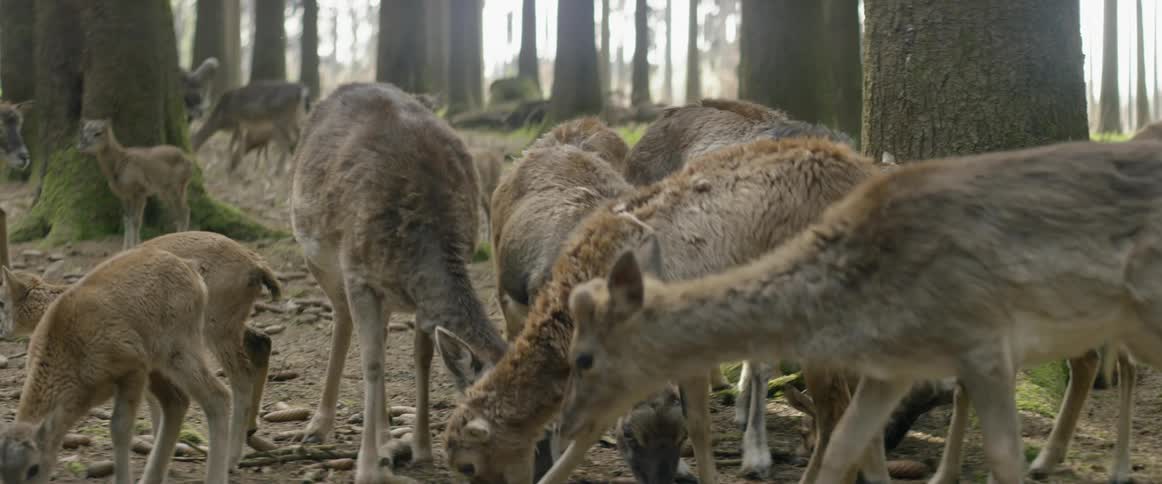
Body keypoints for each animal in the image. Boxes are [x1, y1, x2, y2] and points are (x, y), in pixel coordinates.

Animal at [0, 230, 281, 464]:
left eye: (2, 301)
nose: (3, 330)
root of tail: (256, 265)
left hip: (217, 330)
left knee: (240, 375)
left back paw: (232, 457)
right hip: (229, 326)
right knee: (261, 343)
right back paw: (250, 431)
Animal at [76, 119, 193, 251]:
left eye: (98, 133)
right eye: (83, 131)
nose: (81, 145)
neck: (118, 165)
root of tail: (189, 161)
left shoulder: (140, 192)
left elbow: (136, 221)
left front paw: (135, 246)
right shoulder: (124, 196)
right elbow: (127, 220)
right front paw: (125, 248)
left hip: (176, 187)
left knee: (184, 211)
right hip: (166, 191)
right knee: (180, 212)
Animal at [289, 82, 508, 484]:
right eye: (479, 428)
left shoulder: (419, 294)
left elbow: (422, 358)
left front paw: (421, 450)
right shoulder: (358, 275)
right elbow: (372, 363)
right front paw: (366, 467)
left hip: (385, 291)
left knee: (382, 332)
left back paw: (385, 432)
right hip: (319, 259)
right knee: (343, 321)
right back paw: (318, 426)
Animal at [552, 139, 1162, 484]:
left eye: (585, 359)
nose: (567, 424)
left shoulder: (979, 346)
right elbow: (848, 434)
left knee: (1113, 365)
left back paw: (1100, 465)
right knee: (1095, 363)